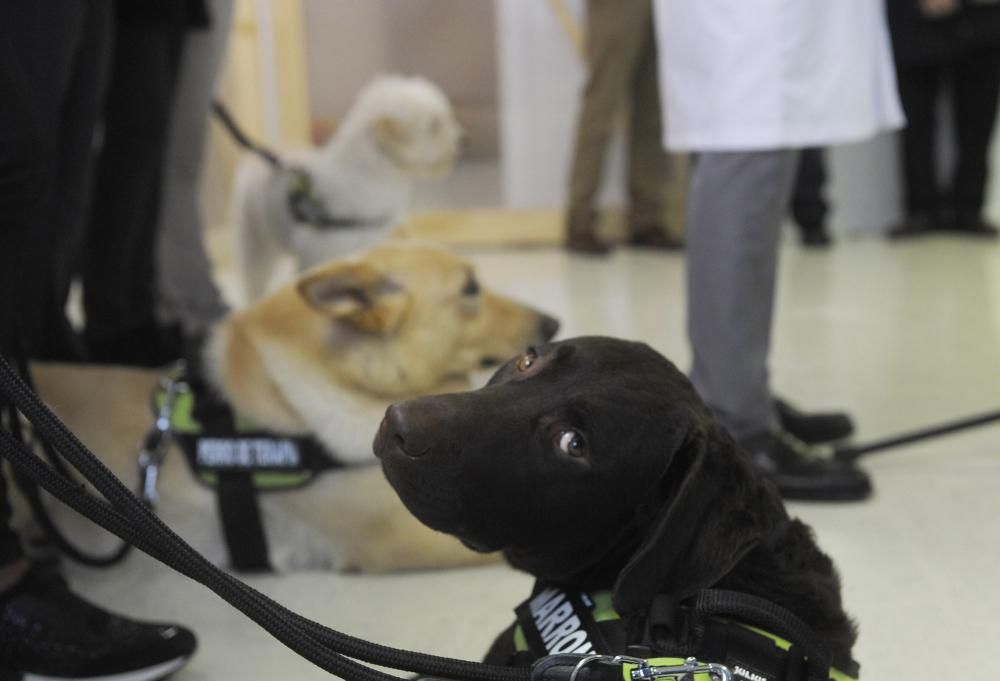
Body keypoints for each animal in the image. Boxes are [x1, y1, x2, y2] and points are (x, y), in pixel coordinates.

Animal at [230, 73, 460, 302]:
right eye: (434, 125)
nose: (460, 137)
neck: (366, 176)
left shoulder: (367, 248)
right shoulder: (317, 255)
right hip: (254, 240)